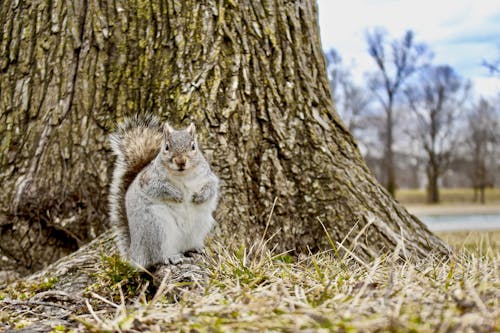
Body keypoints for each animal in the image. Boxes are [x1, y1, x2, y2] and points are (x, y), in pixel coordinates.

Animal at [109, 115, 219, 268]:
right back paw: (172, 257)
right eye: (167, 147)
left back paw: (196, 248)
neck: (183, 175)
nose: (180, 161)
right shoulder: (149, 181)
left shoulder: (208, 177)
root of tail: (136, 253)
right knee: (158, 256)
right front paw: (178, 195)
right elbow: (160, 189)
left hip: (200, 225)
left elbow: (212, 187)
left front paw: (199, 197)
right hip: (157, 228)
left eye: (193, 146)